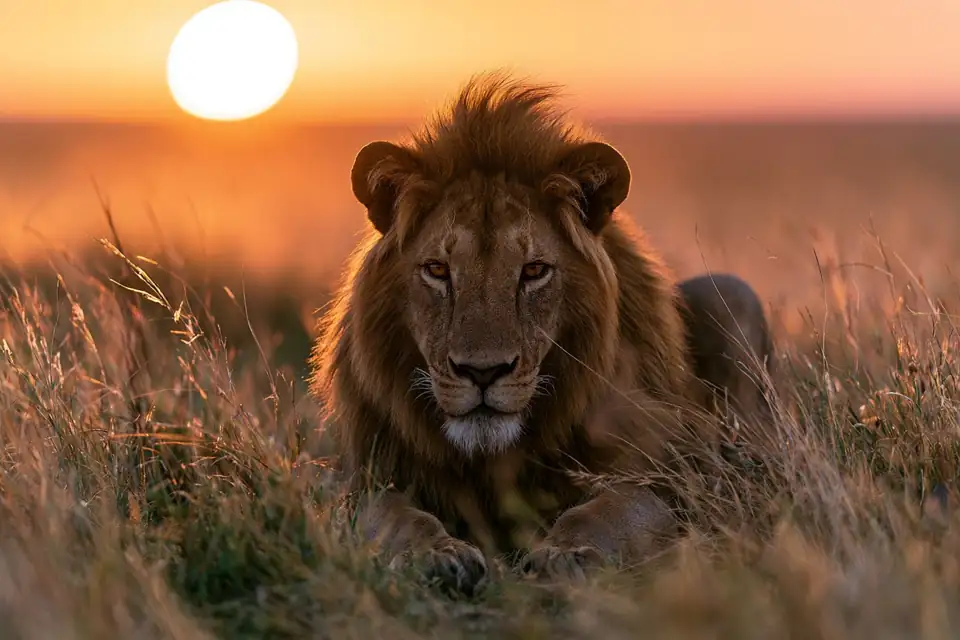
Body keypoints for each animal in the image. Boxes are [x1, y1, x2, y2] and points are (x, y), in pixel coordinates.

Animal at [310, 72, 774, 593]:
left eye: (533, 271)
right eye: (437, 270)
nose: (483, 373)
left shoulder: (667, 478)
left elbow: (611, 510)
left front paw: (564, 554)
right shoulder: (367, 480)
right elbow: (393, 517)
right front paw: (438, 556)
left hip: (731, 292)